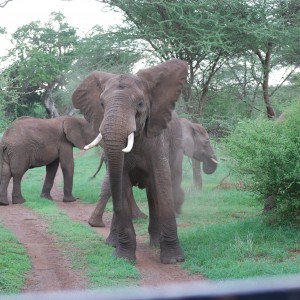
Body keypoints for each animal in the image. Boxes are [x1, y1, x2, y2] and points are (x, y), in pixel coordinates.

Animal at [72, 58, 188, 262]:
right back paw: (113, 242)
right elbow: (122, 181)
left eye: (140, 104)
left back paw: (154, 243)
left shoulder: (158, 140)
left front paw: (174, 260)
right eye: (101, 104)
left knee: (153, 192)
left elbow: (162, 183)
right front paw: (123, 258)